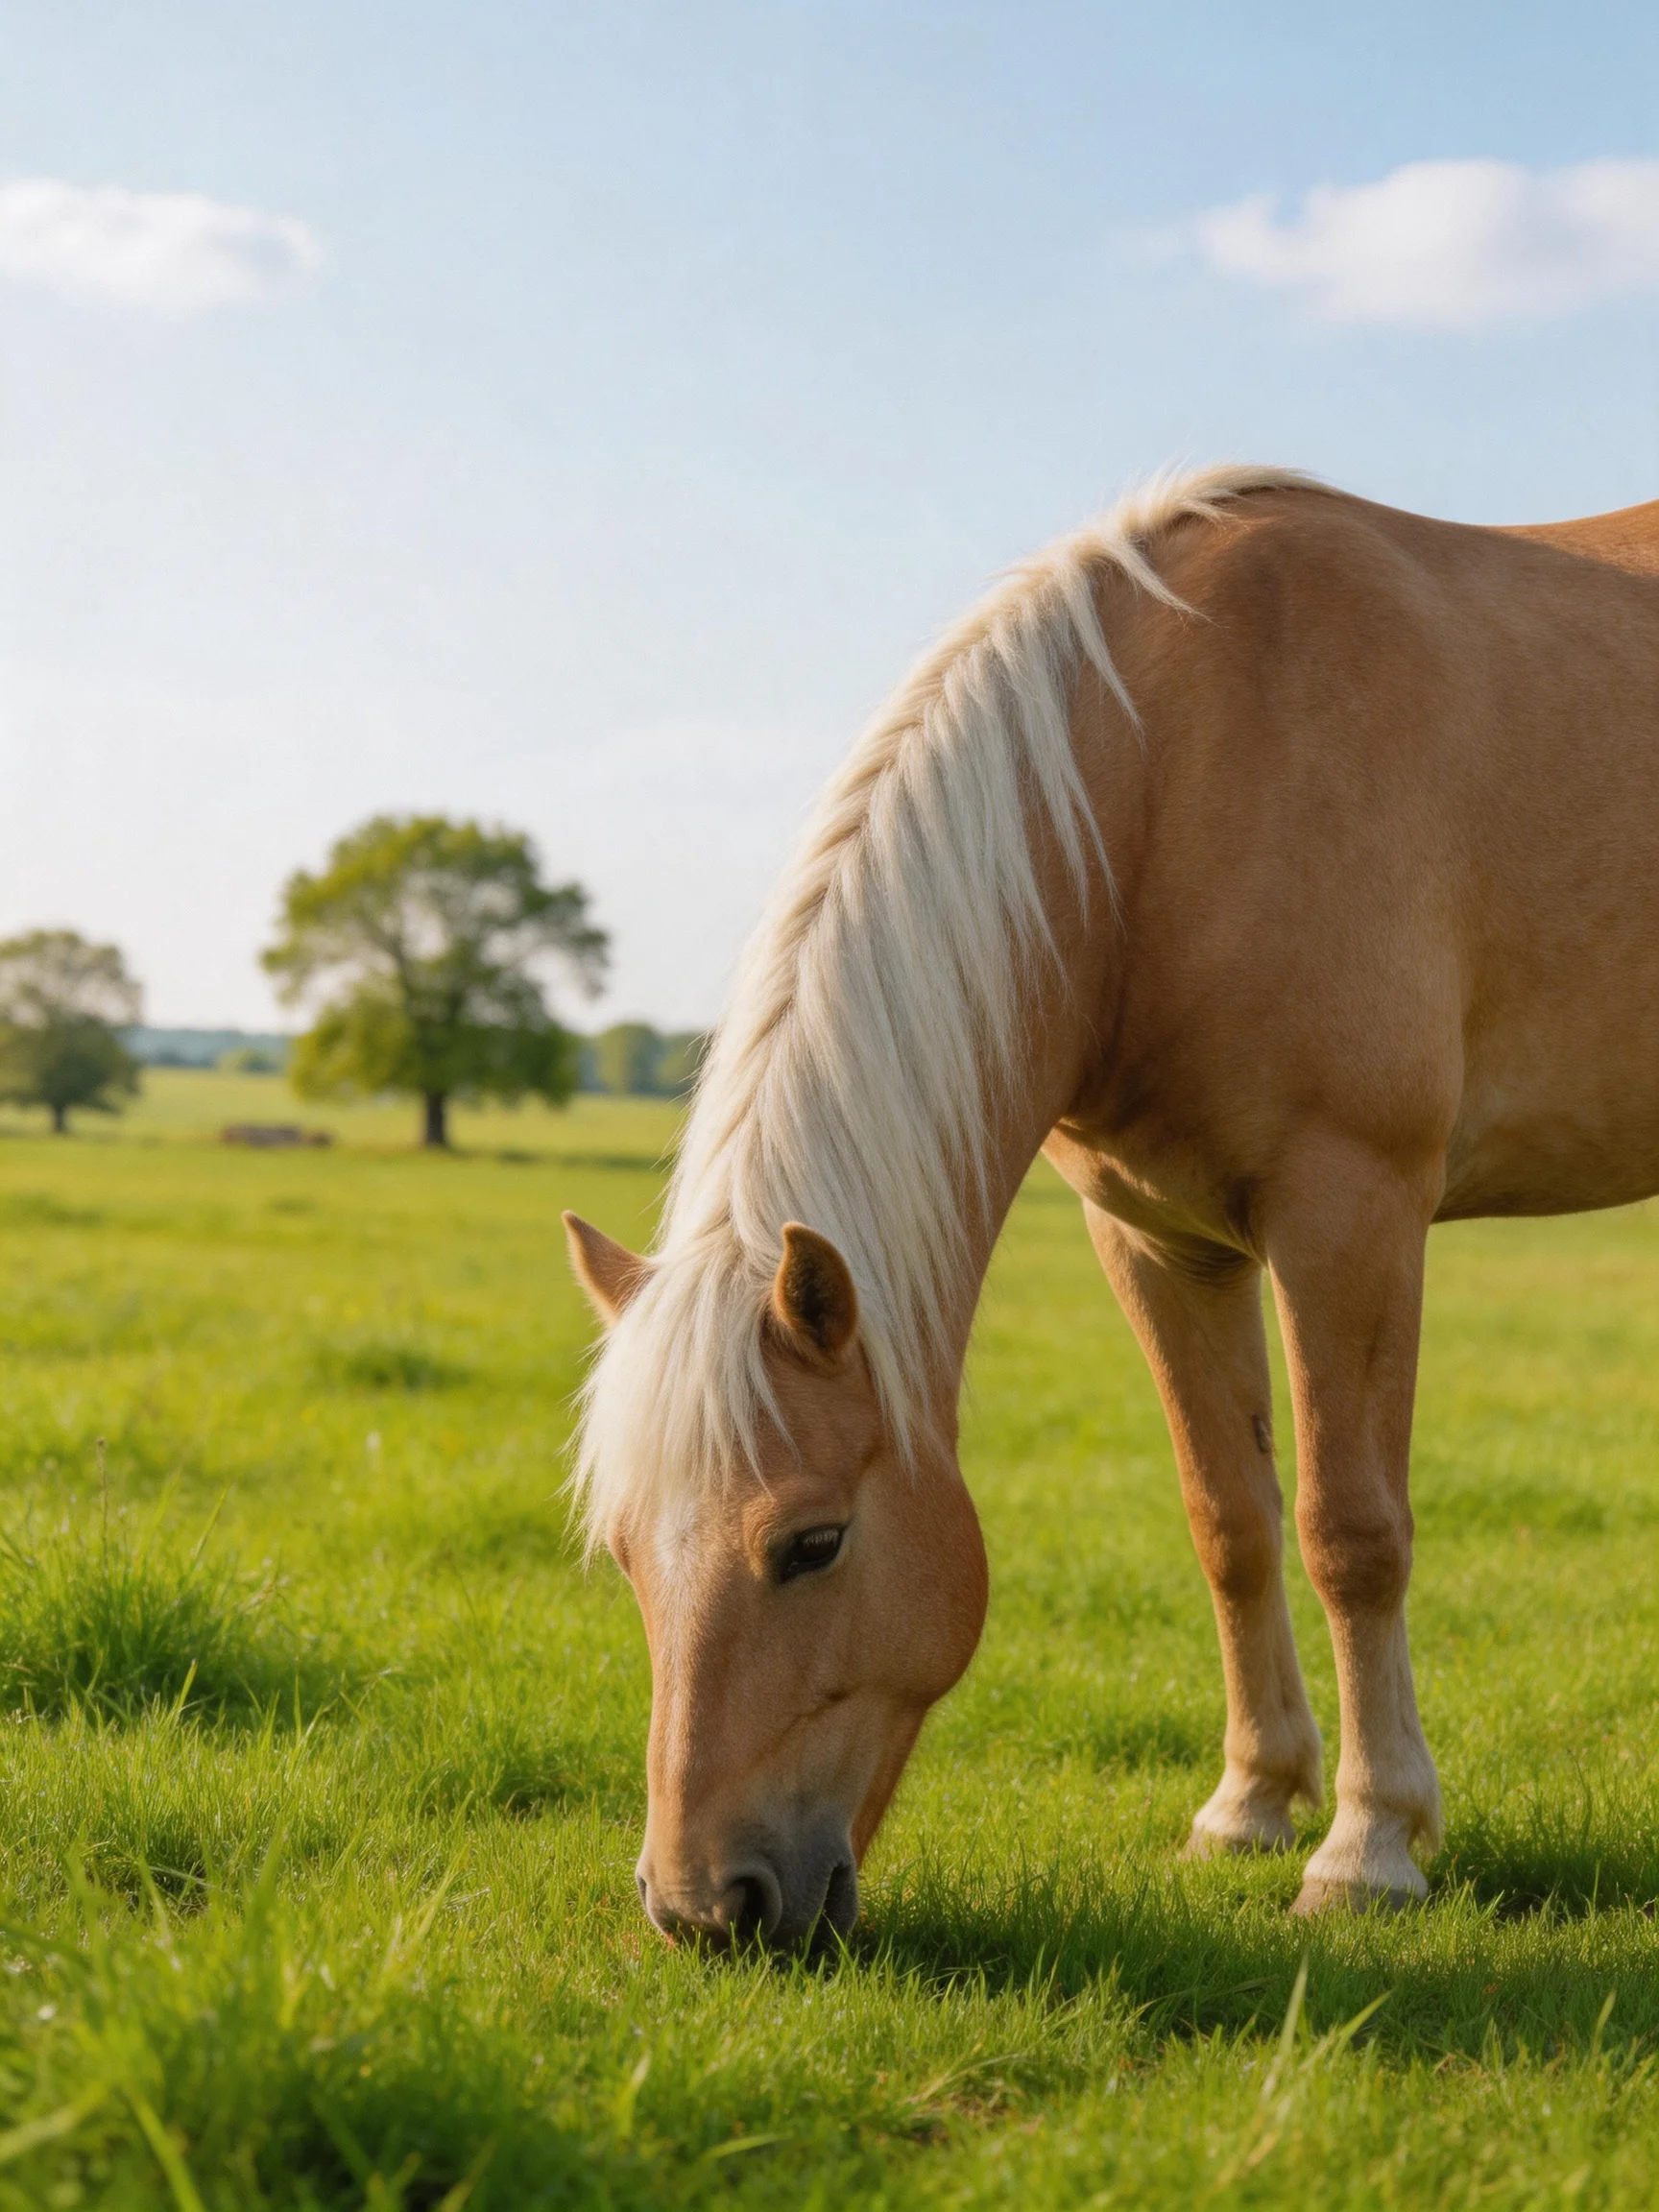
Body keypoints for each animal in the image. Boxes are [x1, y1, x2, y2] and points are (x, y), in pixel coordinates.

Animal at [564, 464, 1659, 1945]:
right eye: (624, 1552)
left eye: (812, 1543)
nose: (702, 1909)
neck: (1163, 785)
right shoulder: (1159, 1240)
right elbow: (1231, 1520)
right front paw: (1249, 1807)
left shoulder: (1349, 1208)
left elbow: (1351, 1531)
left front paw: (1368, 1845)